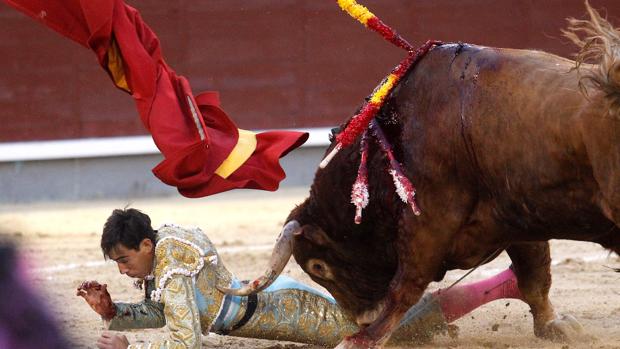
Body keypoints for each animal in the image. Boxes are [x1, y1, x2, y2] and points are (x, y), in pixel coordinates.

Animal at [224, 4, 620, 346]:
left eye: (318, 266)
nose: (363, 319)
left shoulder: (429, 217)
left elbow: (408, 282)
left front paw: (363, 340)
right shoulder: (517, 215)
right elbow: (534, 275)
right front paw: (555, 327)